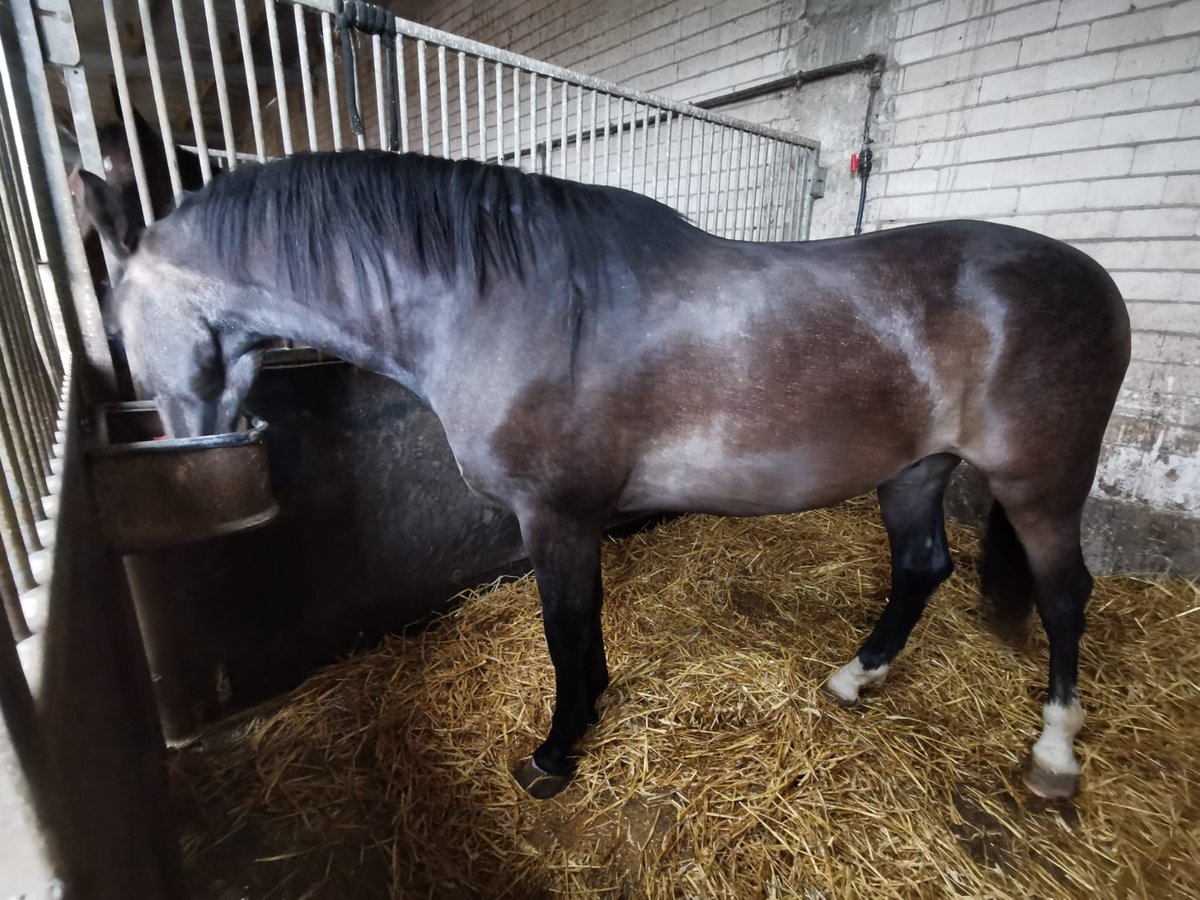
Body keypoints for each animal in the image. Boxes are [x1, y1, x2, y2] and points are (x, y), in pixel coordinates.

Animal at [77, 150, 1132, 801]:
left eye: (118, 330)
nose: (189, 449)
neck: (501, 300)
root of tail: (1096, 282)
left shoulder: (555, 515)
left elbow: (563, 626)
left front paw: (555, 750)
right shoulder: (571, 520)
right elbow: (583, 627)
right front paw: (595, 706)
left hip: (1041, 481)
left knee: (1065, 595)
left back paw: (1053, 756)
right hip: (915, 470)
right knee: (922, 569)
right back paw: (853, 679)